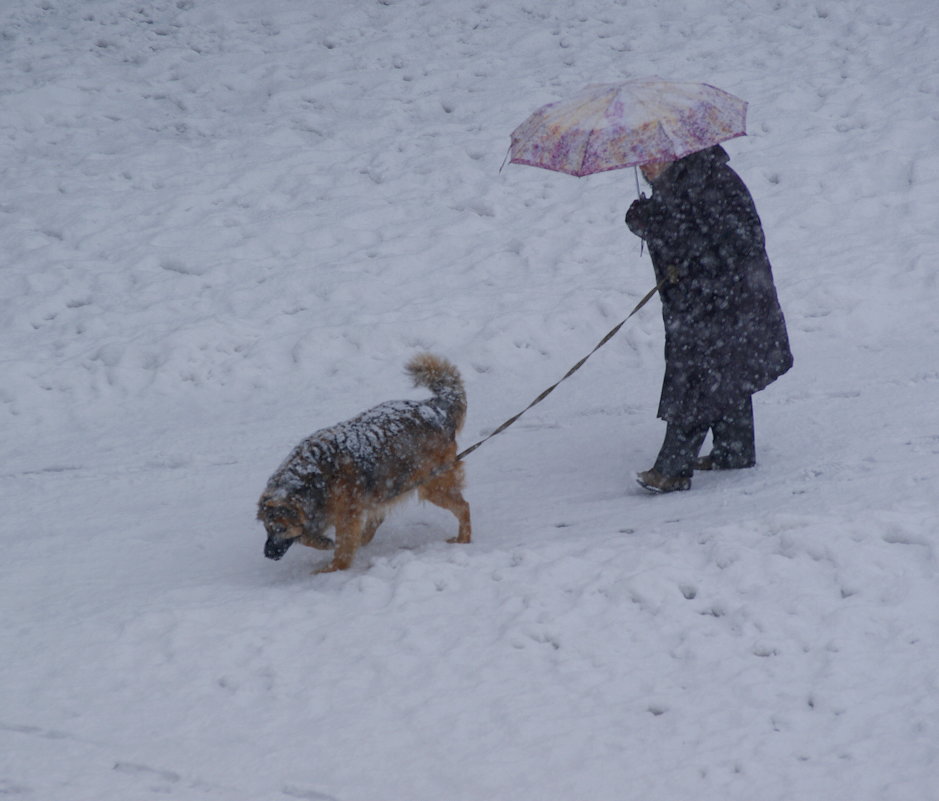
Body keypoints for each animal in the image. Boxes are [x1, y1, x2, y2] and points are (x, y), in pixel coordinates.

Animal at [258, 354, 474, 572]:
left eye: (281, 528)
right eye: (267, 528)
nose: (268, 554)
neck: (313, 476)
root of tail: (435, 408)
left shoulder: (346, 516)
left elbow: (341, 549)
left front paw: (331, 569)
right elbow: (311, 537)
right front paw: (323, 542)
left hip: (433, 485)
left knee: (464, 506)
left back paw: (463, 539)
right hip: (390, 486)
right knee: (375, 522)